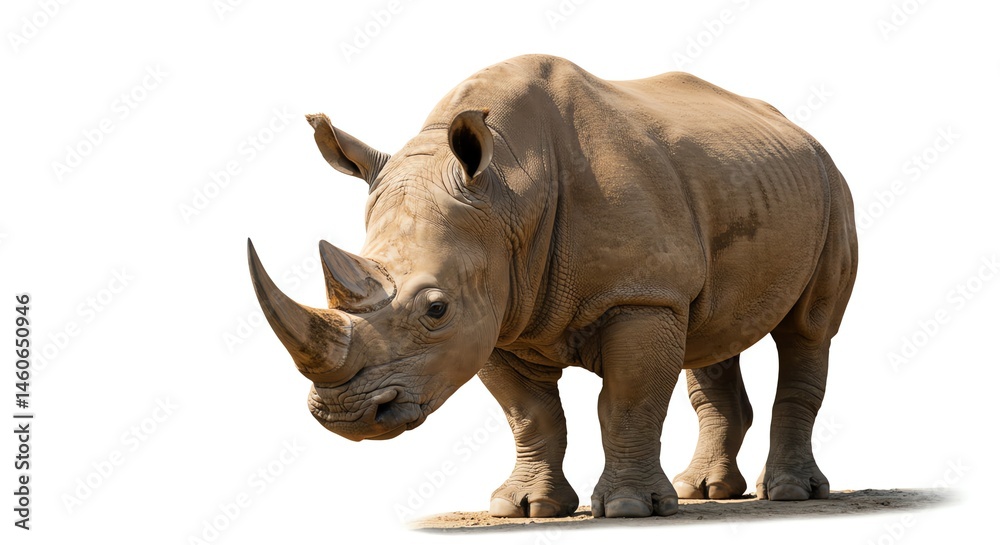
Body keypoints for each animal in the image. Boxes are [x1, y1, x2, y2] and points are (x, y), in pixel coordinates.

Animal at [247, 54, 857, 518]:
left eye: (436, 309)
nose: (344, 415)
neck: (509, 192)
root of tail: (801, 131)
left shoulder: (639, 294)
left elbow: (629, 399)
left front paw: (630, 509)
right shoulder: (496, 314)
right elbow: (531, 415)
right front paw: (524, 508)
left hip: (831, 186)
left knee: (808, 330)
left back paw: (789, 493)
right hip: (737, 185)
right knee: (712, 333)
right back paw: (702, 492)